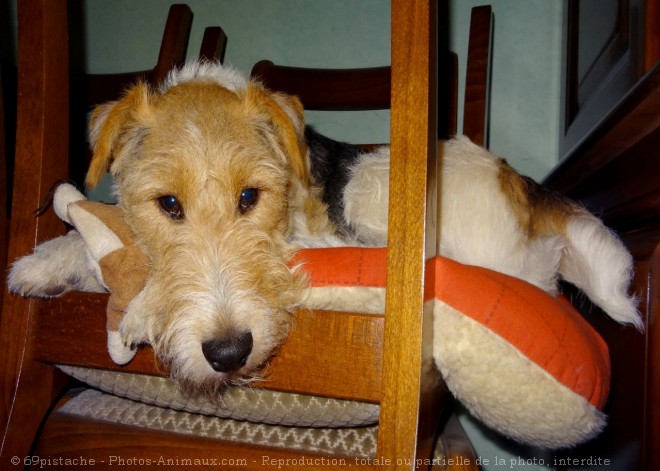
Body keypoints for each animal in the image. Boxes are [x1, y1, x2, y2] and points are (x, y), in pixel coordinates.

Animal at [7, 63, 640, 394]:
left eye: (249, 197)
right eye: (167, 204)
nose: (229, 352)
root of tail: (525, 186)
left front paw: (131, 303)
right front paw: (39, 265)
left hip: (371, 183)